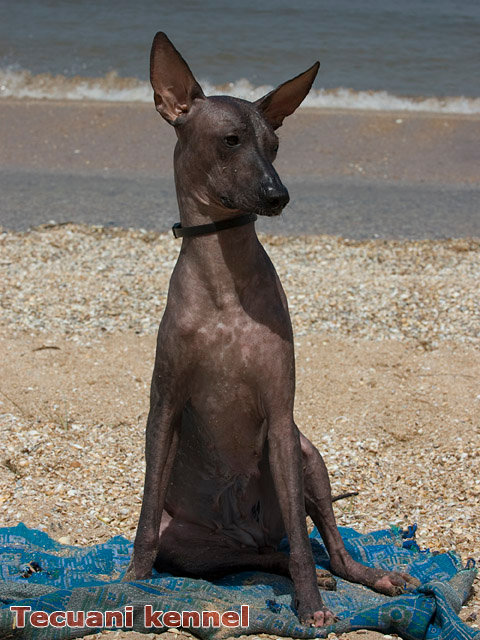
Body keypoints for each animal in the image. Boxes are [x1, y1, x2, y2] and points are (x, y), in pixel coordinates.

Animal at [124, 33, 420, 624]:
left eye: (275, 146)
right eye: (230, 140)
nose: (277, 194)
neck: (224, 284)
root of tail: (244, 534)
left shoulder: (282, 419)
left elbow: (306, 546)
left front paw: (310, 608)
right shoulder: (163, 407)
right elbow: (144, 520)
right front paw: (132, 585)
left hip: (309, 457)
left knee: (322, 546)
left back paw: (364, 576)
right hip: (190, 543)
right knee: (259, 556)